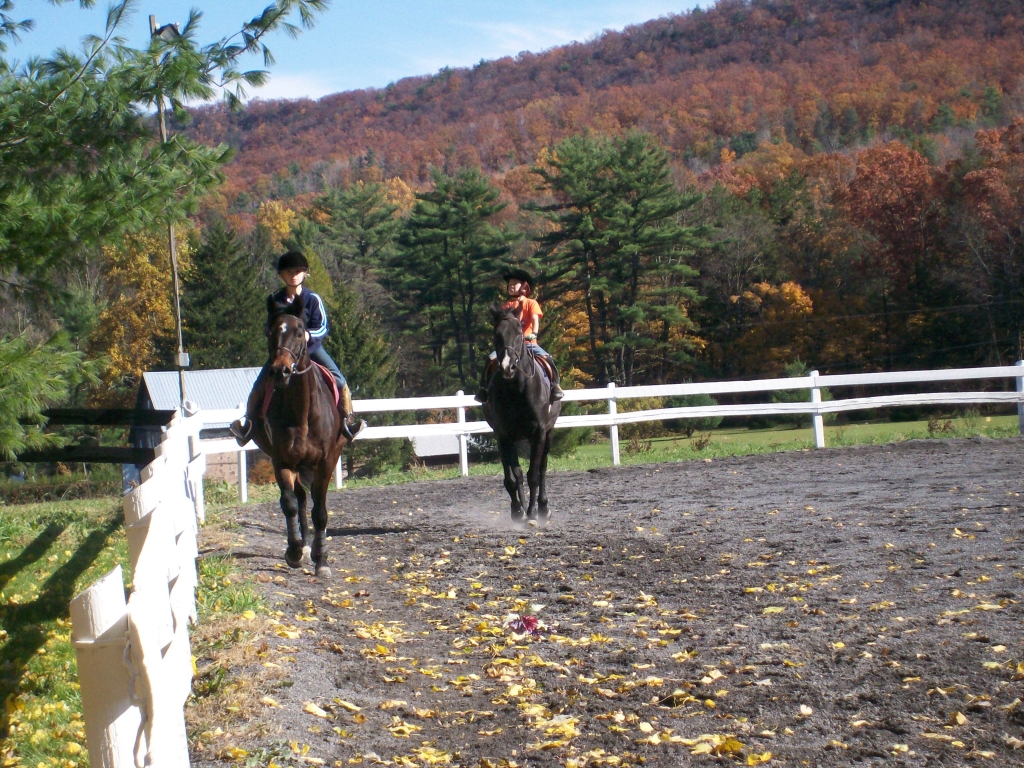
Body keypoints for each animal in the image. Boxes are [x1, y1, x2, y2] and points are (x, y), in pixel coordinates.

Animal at [249, 296, 350, 581]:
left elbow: (321, 512)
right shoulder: (282, 461)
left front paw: (322, 560)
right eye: (270, 332)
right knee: (301, 498)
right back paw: (303, 546)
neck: (302, 413)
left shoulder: (326, 462)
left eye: (298, 331)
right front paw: (294, 551)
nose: (281, 371)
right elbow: (290, 504)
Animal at [483, 307, 565, 524]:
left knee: (542, 468)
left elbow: (533, 475)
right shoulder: (503, 436)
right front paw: (517, 511)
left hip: (548, 434)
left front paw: (532, 513)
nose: (507, 366)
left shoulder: (539, 433)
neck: (517, 389)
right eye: (497, 335)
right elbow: (513, 477)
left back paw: (543, 507)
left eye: (520, 333)